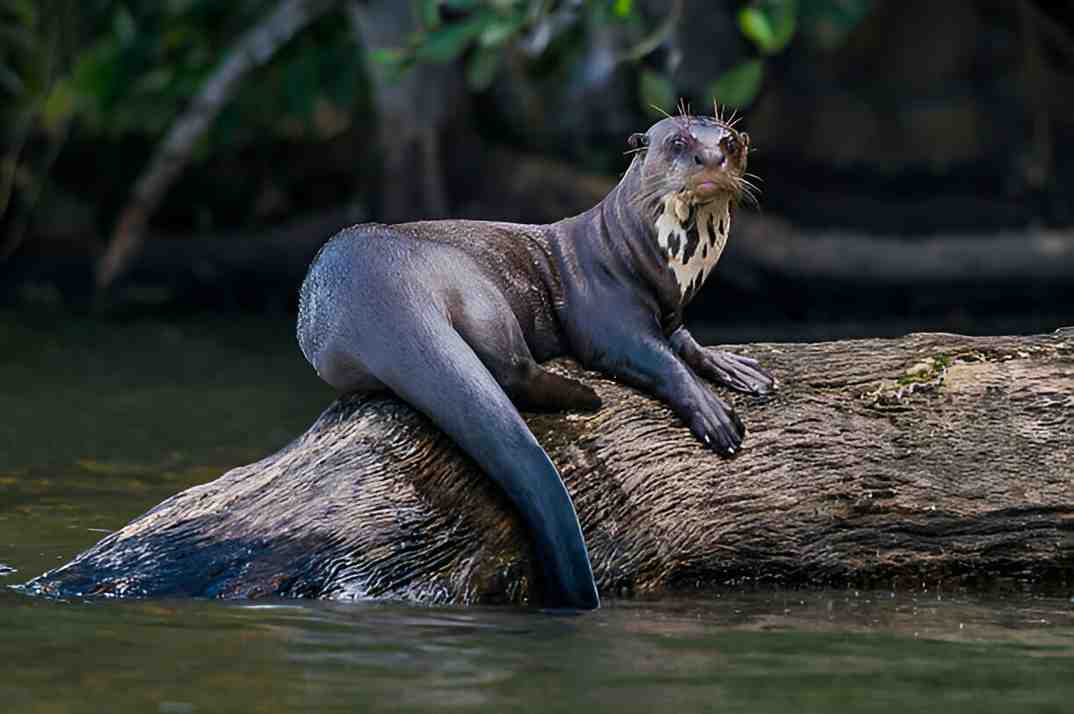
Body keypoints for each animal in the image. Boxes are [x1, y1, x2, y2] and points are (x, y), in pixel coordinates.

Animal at [298, 108, 777, 609]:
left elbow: (685, 342)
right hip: (477, 287)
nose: (712, 158)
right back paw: (585, 396)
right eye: (679, 142)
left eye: (730, 141)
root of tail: (379, 287)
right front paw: (713, 414)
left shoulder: (671, 311)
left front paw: (735, 368)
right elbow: (659, 359)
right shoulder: (606, 315)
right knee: (512, 370)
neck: (645, 258)